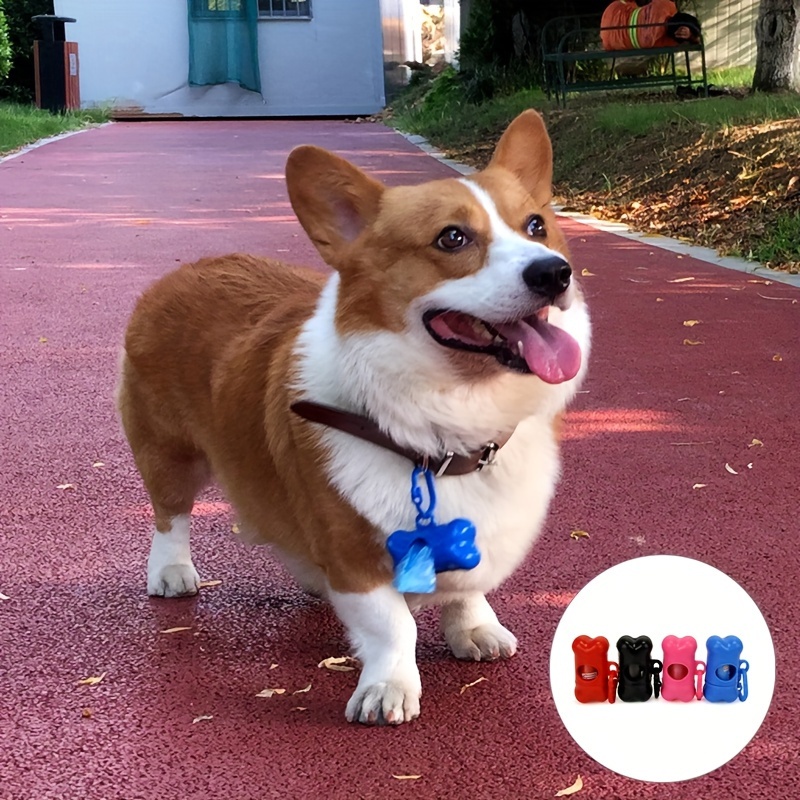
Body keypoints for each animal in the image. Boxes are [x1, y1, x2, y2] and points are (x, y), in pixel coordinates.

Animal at [120, 111, 592, 724]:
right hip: (169, 451)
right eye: (452, 237)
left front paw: (474, 629)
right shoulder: (353, 553)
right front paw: (388, 687)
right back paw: (172, 571)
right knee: (170, 513)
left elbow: (467, 589)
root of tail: (185, 270)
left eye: (536, 225)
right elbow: (392, 626)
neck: (443, 427)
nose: (554, 273)